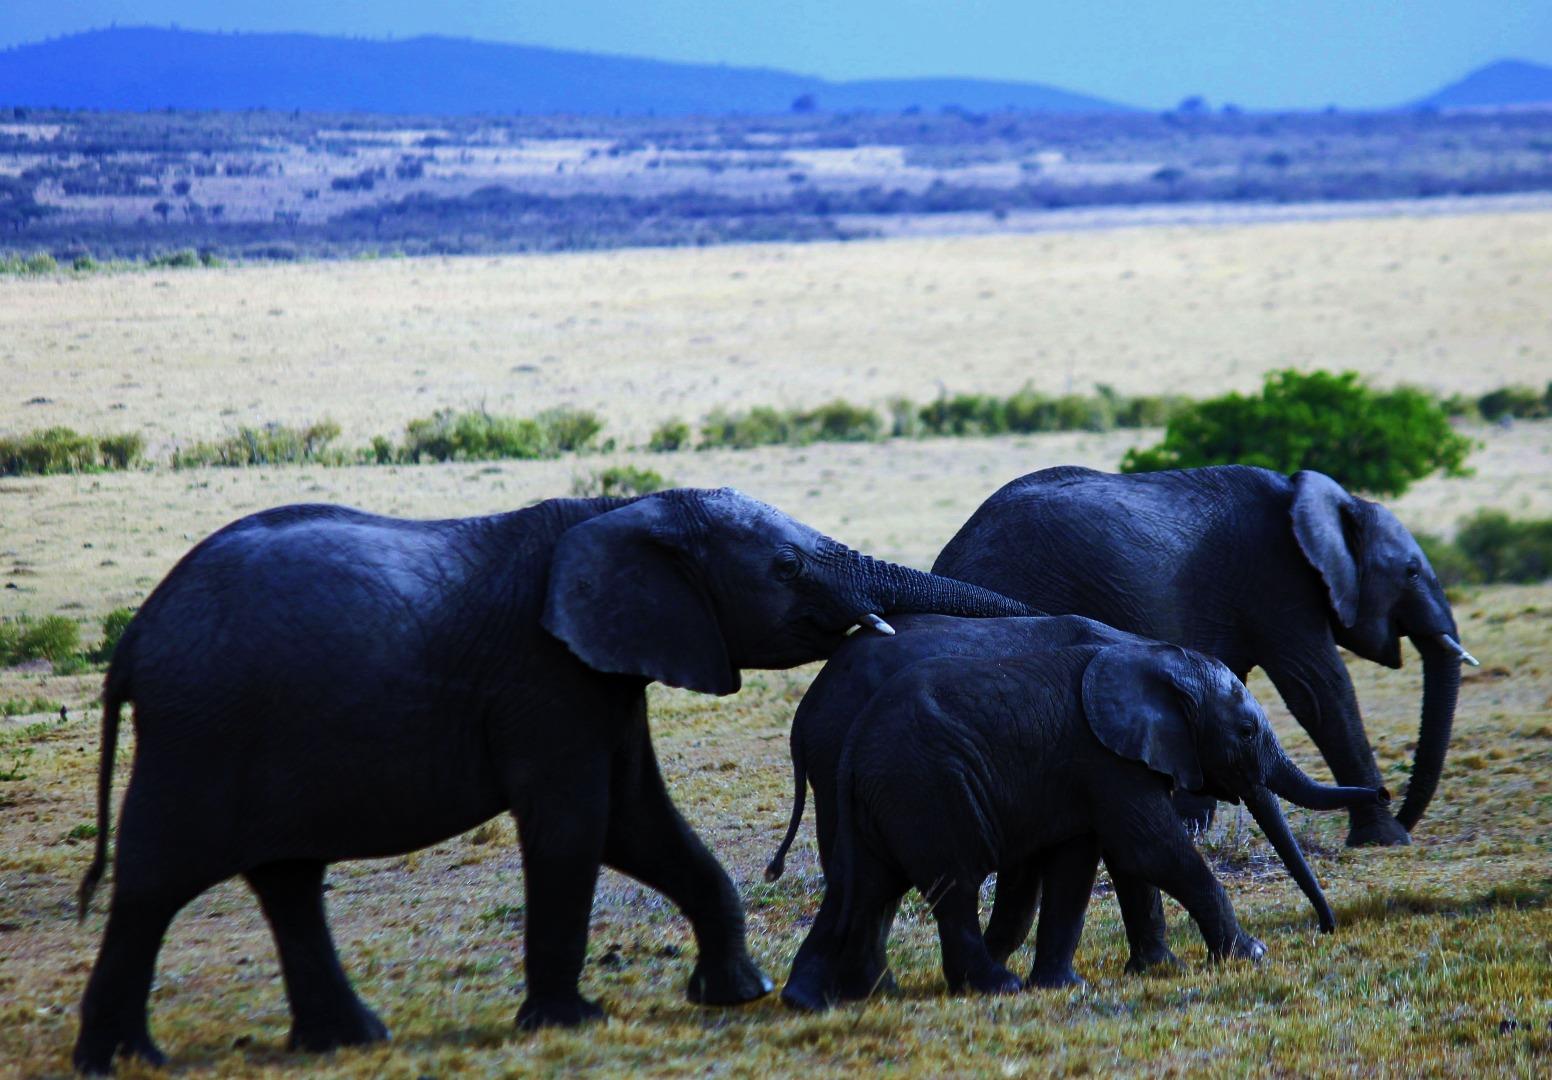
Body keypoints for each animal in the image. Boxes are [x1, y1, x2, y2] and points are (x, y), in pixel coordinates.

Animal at [69, 487, 1030, 1073]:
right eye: (788, 568)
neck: (620, 509)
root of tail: (135, 637)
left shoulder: (602, 670)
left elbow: (640, 824)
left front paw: (736, 996)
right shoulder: (544, 679)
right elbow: (577, 825)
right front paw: (573, 1023)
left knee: (287, 880)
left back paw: (345, 1042)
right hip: (200, 735)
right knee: (156, 882)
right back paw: (123, 1061)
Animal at [782, 642, 1390, 1011]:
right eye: (1244, 731)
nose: (1327, 928)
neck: (1155, 660)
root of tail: (854, 742)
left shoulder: (1080, 769)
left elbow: (1076, 866)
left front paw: (1064, 986)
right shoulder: (1105, 759)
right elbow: (1151, 849)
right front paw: (1250, 955)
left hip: (886, 797)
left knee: (867, 889)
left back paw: (852, 997)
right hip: (925, 788)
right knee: (950, 887)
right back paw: (992, 987)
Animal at [931, 459, 1477, 850]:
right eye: (1411, 572)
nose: (1396, 804)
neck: (1331, 500)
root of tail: (947, 558)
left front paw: (1192, 828)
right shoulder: (1277, 580)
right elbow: (1318, 689)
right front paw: (1385, 840)